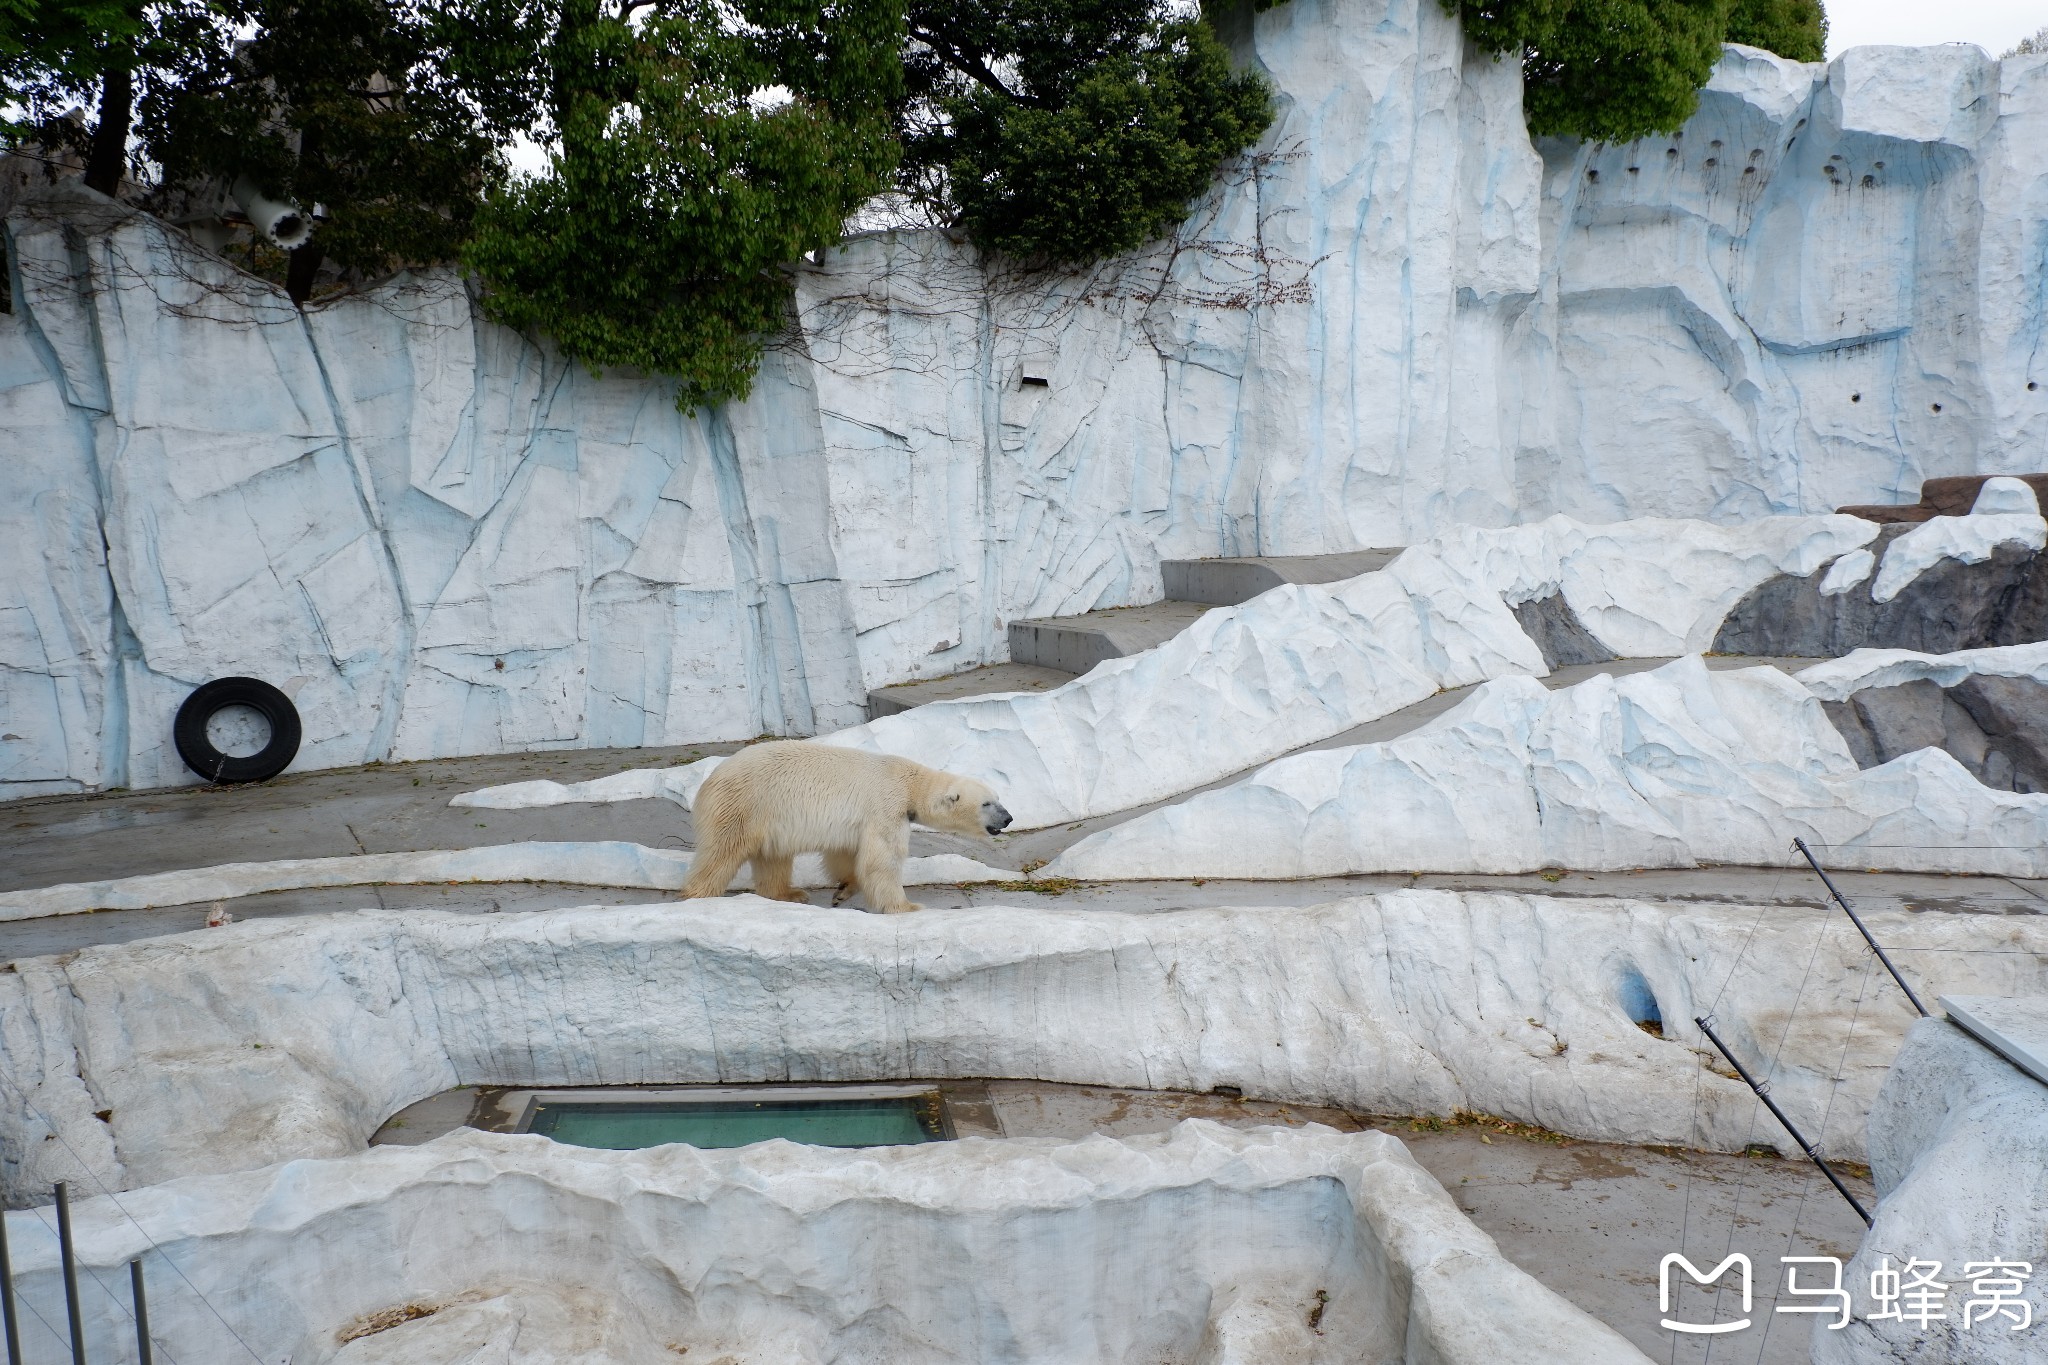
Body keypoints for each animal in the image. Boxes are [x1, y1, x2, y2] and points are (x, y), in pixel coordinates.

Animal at [684, 740, 1011, 912]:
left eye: (998, 797)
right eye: (987, 804)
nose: (1008, 818)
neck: (910, 783)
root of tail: (710, 779)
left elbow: (845, 853)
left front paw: (843, 891)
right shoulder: (886, 805)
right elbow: (882, 860)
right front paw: (908, 907)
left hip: (769, 818)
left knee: (773, 858)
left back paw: (790, 894)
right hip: (744, 804)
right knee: (721, 852)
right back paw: (699, 896)